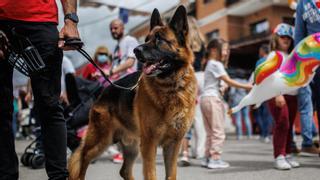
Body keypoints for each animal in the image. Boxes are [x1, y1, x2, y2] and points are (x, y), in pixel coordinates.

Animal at [69, 5, 196, 180]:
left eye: (160, 39)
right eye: (147, 39)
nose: (136, 50)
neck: (171, 87)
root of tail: (103, 90)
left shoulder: (173, 145)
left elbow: (171, 175)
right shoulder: (149, 143)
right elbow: (151, 174)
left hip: (132, 146)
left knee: (124, 170)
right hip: (100, 141)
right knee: (83, 158)